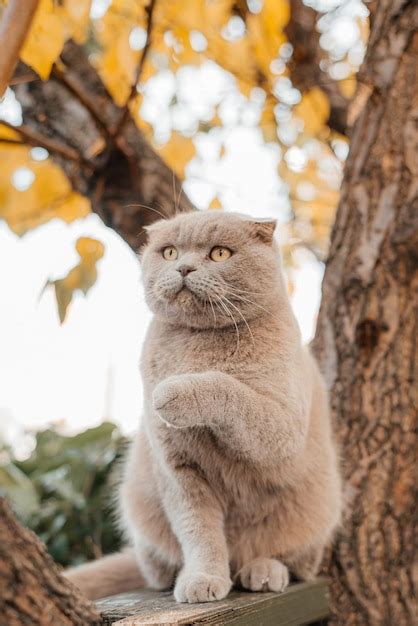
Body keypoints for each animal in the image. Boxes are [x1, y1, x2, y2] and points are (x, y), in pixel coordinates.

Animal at [64, 212, 340, 604]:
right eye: (169, 252)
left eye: (220, 253)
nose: (184, 268)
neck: (198, 344)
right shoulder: (179, 472)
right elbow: (199, 532)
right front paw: (203, 578)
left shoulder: (282, 429)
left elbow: (227, 387)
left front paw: (174, 392)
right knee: (156, 570)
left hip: (316, 511)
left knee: (293, 562)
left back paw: (262, 571)